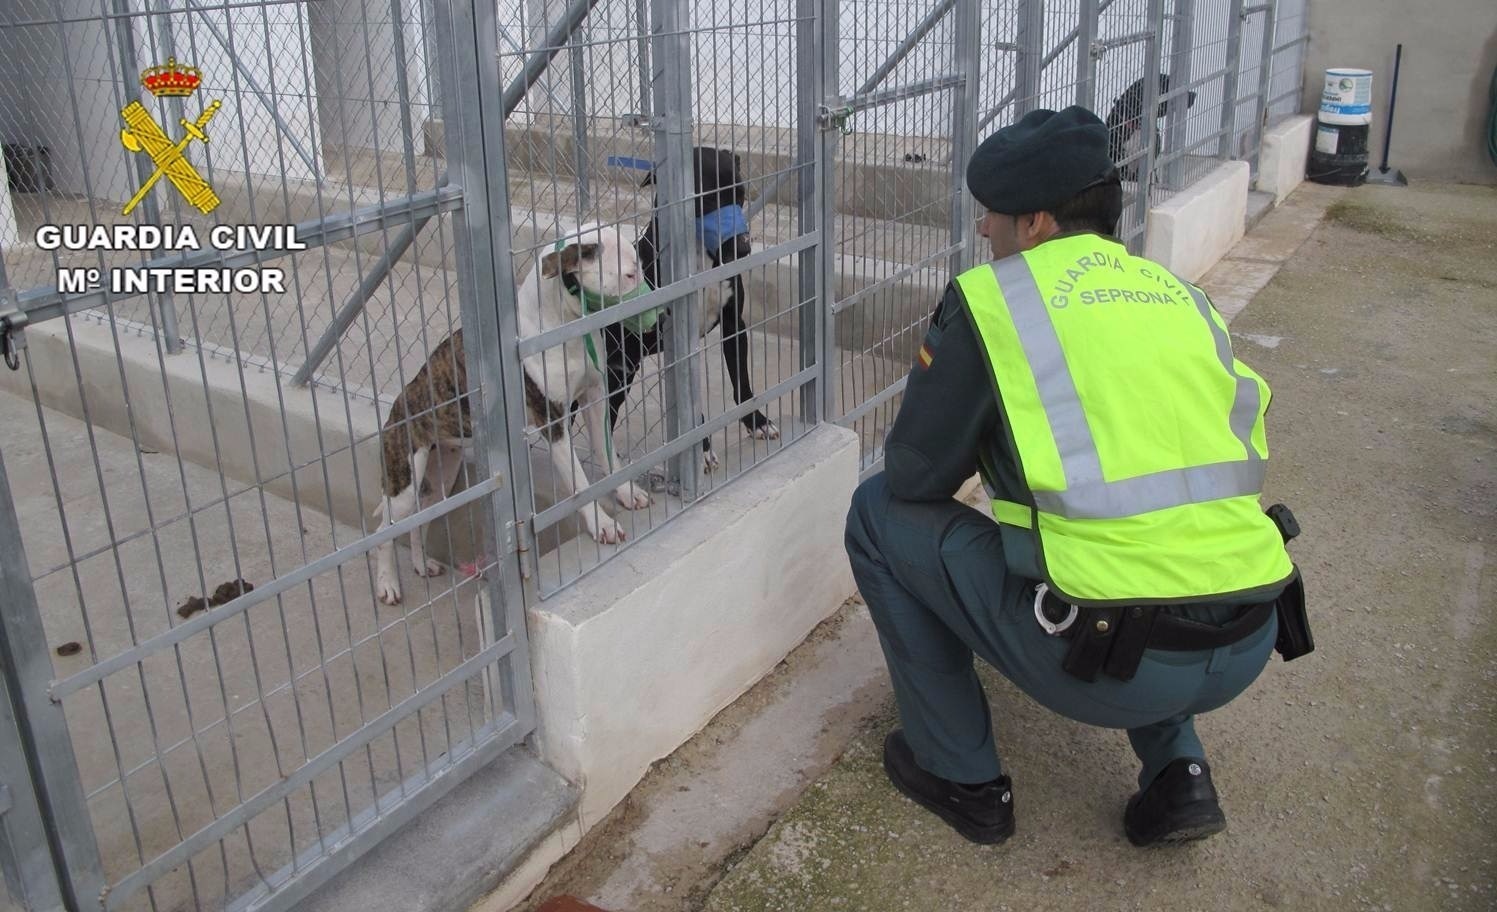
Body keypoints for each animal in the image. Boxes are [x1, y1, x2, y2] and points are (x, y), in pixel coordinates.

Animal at [601, 146, 778, 473]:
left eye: (741, 194)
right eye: (707, 199)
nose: (743, 249)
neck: (699, 257)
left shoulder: (734, 324)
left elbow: (742, 382)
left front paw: (757, 422)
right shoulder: (677, 344)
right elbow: (691, 410)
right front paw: (702, 451)